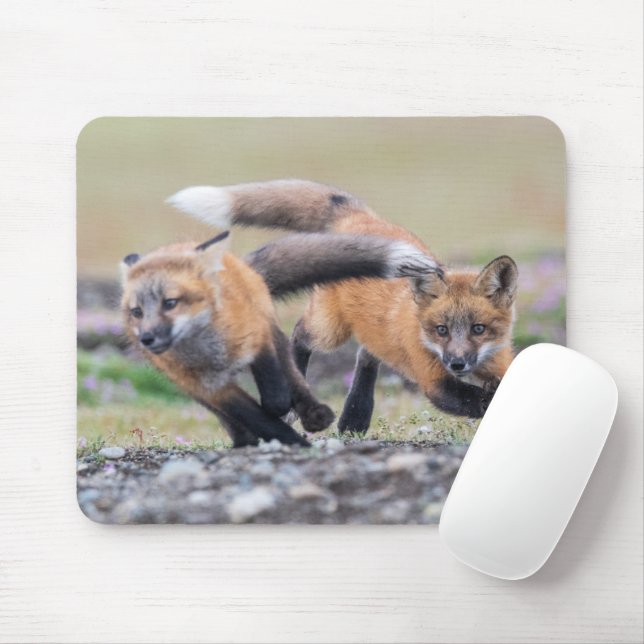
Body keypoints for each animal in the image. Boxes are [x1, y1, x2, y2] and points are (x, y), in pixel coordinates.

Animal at [120, 228, 441, 447]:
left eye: (170, 303)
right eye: (137, 311)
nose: (147, 338)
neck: (210, 350)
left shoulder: (259, 337)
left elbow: (275, 392)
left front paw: (286, 415)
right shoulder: (209, 387)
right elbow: (252, 415)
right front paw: (286, 439)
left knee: (294, 367)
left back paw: (313, 413)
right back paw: (245, 440)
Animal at [168, 179, 519, 433]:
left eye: (478, 329)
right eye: (441, 330)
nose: (457, 363)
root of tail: (359, 217)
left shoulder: (498, 362)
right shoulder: (434, 379)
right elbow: (478, 399)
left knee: (366, 356)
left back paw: (355, 417)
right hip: (329, 329)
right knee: (300, 334)